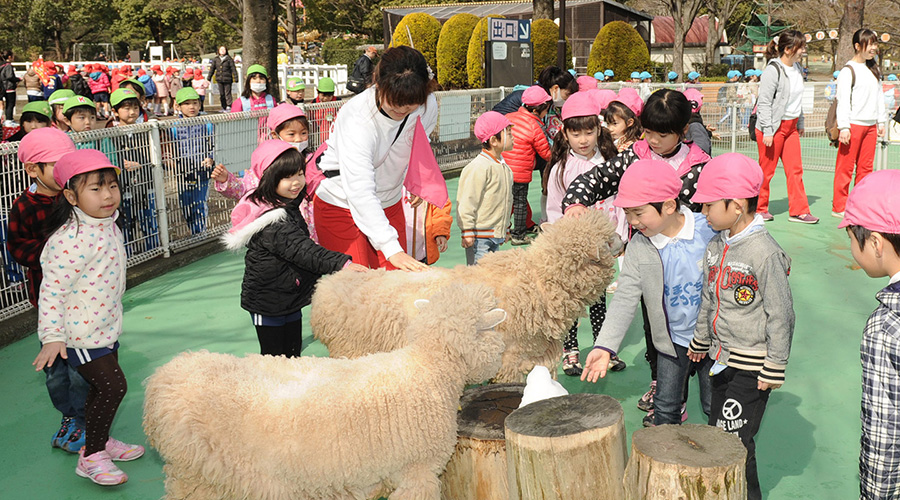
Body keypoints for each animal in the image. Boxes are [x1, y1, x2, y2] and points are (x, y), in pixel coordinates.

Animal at [142, 284, 506, 500]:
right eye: (493, 330)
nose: (500, 359)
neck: (429, 368)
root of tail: (160, 384)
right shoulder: (416, 469)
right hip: (205, 477)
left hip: (193, 475)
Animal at [310, 208, 620, 382]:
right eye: (607, 240)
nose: (623, 239)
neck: (537, 278)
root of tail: (327, 287)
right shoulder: (510, 359)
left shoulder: (537, 354)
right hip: (350, 351)